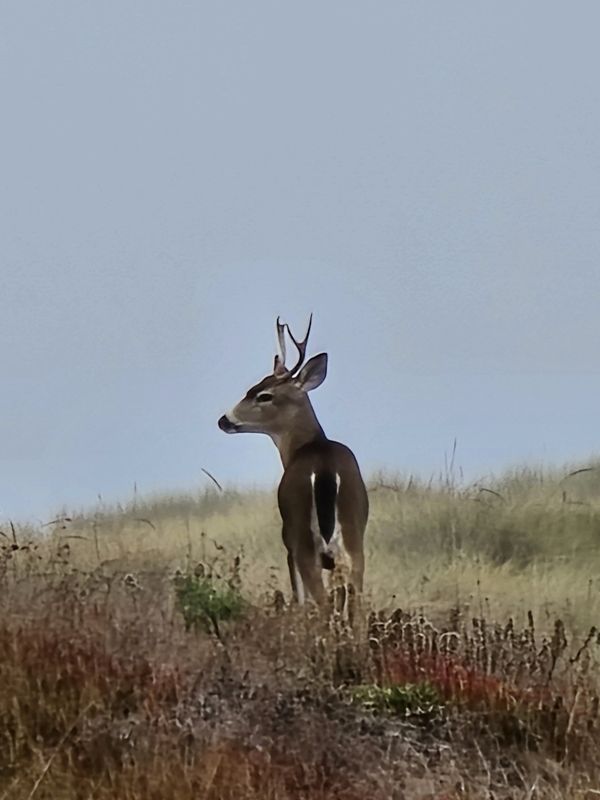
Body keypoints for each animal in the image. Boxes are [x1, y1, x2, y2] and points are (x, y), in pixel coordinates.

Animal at [218, 316, 368, 604]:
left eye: (264, 395)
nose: (224, 420)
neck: (302, 447)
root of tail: (324, 470)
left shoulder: (287, 540)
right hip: (353, 540)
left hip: (303, 539)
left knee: (319, 600)